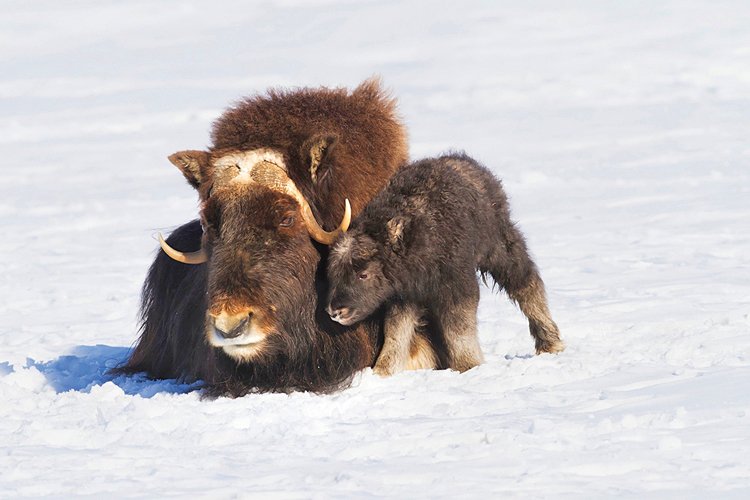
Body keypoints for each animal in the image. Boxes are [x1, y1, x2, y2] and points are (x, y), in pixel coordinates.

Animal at [326, 153, 568, 376]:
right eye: (334, 273)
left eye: (363, 274)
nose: (334, 312)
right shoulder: (405, 294)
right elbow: (396, 330)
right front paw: (382, 370)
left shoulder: (456, 284)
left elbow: (458, 326)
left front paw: (468, 365)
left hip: (500, 247)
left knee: (525, 282)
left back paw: (551, 343)